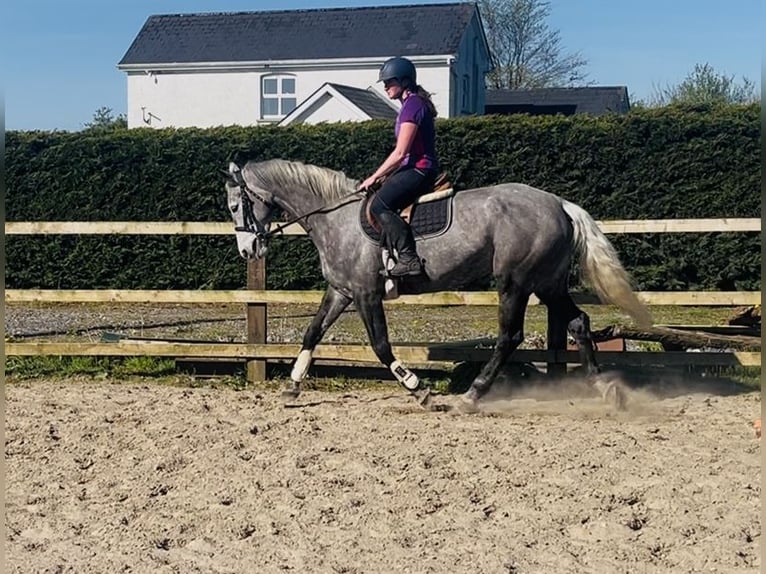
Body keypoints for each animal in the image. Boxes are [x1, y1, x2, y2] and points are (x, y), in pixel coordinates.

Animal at [223, 158, 652, 411]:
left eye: (234, 205)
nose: (248, 250)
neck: (335, 217)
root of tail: (559, 204)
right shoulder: (342, 292)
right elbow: (312, 333)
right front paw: (293, 386)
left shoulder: (365, 293)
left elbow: (380, 345)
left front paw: (419, 388)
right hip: (547, 283)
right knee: (578, 321)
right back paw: (605, 388)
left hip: (515, 281)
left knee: (510, 336)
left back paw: (472, 395)